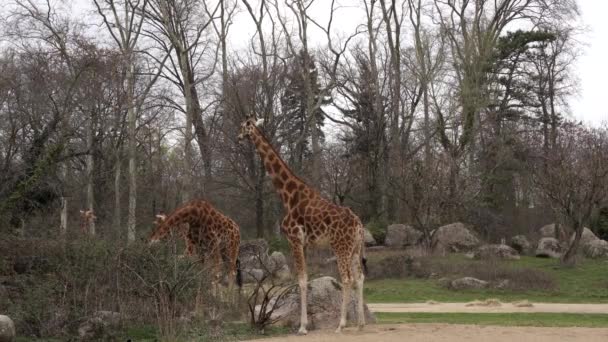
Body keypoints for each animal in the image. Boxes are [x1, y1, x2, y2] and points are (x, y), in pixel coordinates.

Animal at [238, 116, 366, 332]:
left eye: (243, 127)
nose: (238, 137)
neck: (288, 195)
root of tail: (358, 224)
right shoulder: (304, 244)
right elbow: (305, 279)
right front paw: (305, 324)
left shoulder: (294, 240)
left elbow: (301, 280)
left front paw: (302, 327)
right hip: (355, 248)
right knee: (360, 278)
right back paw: (360, 324)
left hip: (341, 247)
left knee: (347, 278)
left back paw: (341, 324)